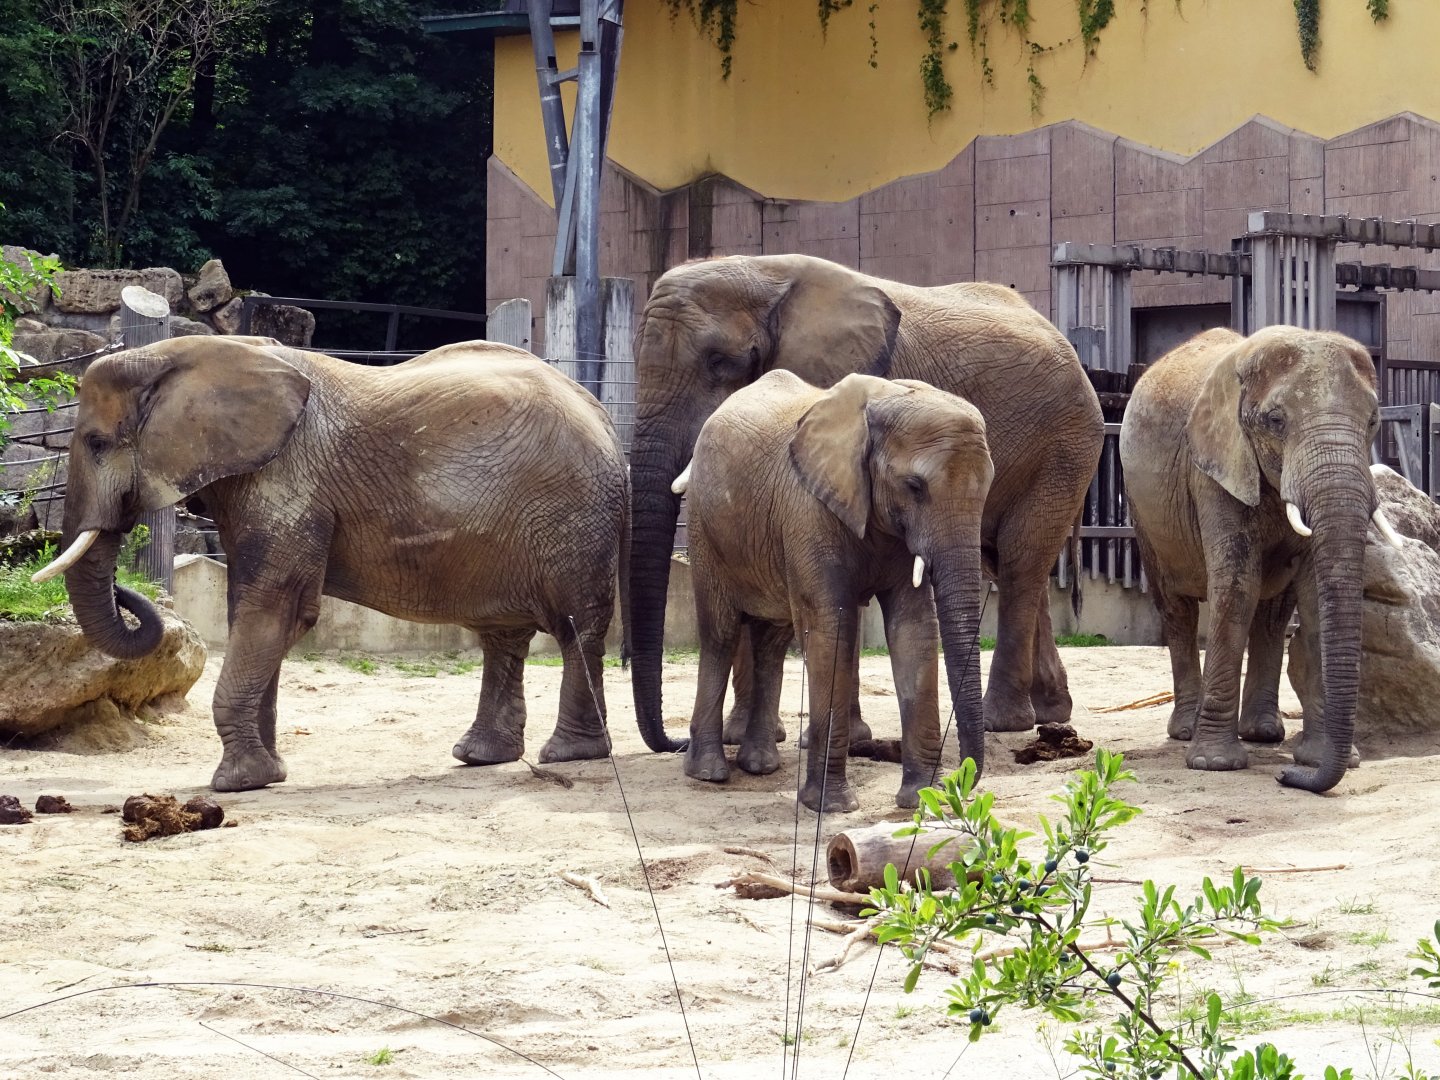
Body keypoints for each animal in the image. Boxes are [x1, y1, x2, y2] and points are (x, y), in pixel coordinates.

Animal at [32, 336, 630, 791]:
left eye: (97, 443)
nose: (129, 591)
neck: (179, 354)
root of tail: (602, 413)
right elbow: (249, 610)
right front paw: (268, 774)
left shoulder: (289, 479)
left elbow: (275, 609)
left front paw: (236, 784)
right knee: (503, 635)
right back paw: (480, 756)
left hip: (572, 517)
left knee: (576, 627)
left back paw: (568, 754)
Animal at [627, 254, 1104, 755]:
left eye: (719, 362)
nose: (676, 741)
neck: (762, 272)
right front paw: (744, 737)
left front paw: (837, 739)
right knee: (1012, 562)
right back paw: (1051, 712)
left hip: (1065, 447)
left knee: (1019, 563)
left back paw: (1003, 721)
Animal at [678, 371, 993, 812]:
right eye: (914, 486)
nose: (960, 782)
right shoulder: (809, 510)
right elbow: (830, 629)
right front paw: (830, 807)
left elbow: (914, 630)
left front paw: (920, 799)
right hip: (706, 528)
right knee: (720, 633)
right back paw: (709, 772)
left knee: (772, 642)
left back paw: (760, 765)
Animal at [1118, 326, 1405, 793]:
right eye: (1275, 421)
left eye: (1372, 422)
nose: (1287, 777)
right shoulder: (1213, 468)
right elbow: (1236, 585)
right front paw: (1214, 763)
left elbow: (1313, 594)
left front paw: (1320, 758)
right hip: (1143, 512)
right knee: (1177, 609)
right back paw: (1187, 730)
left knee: (1271, 616)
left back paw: (1264, 732)